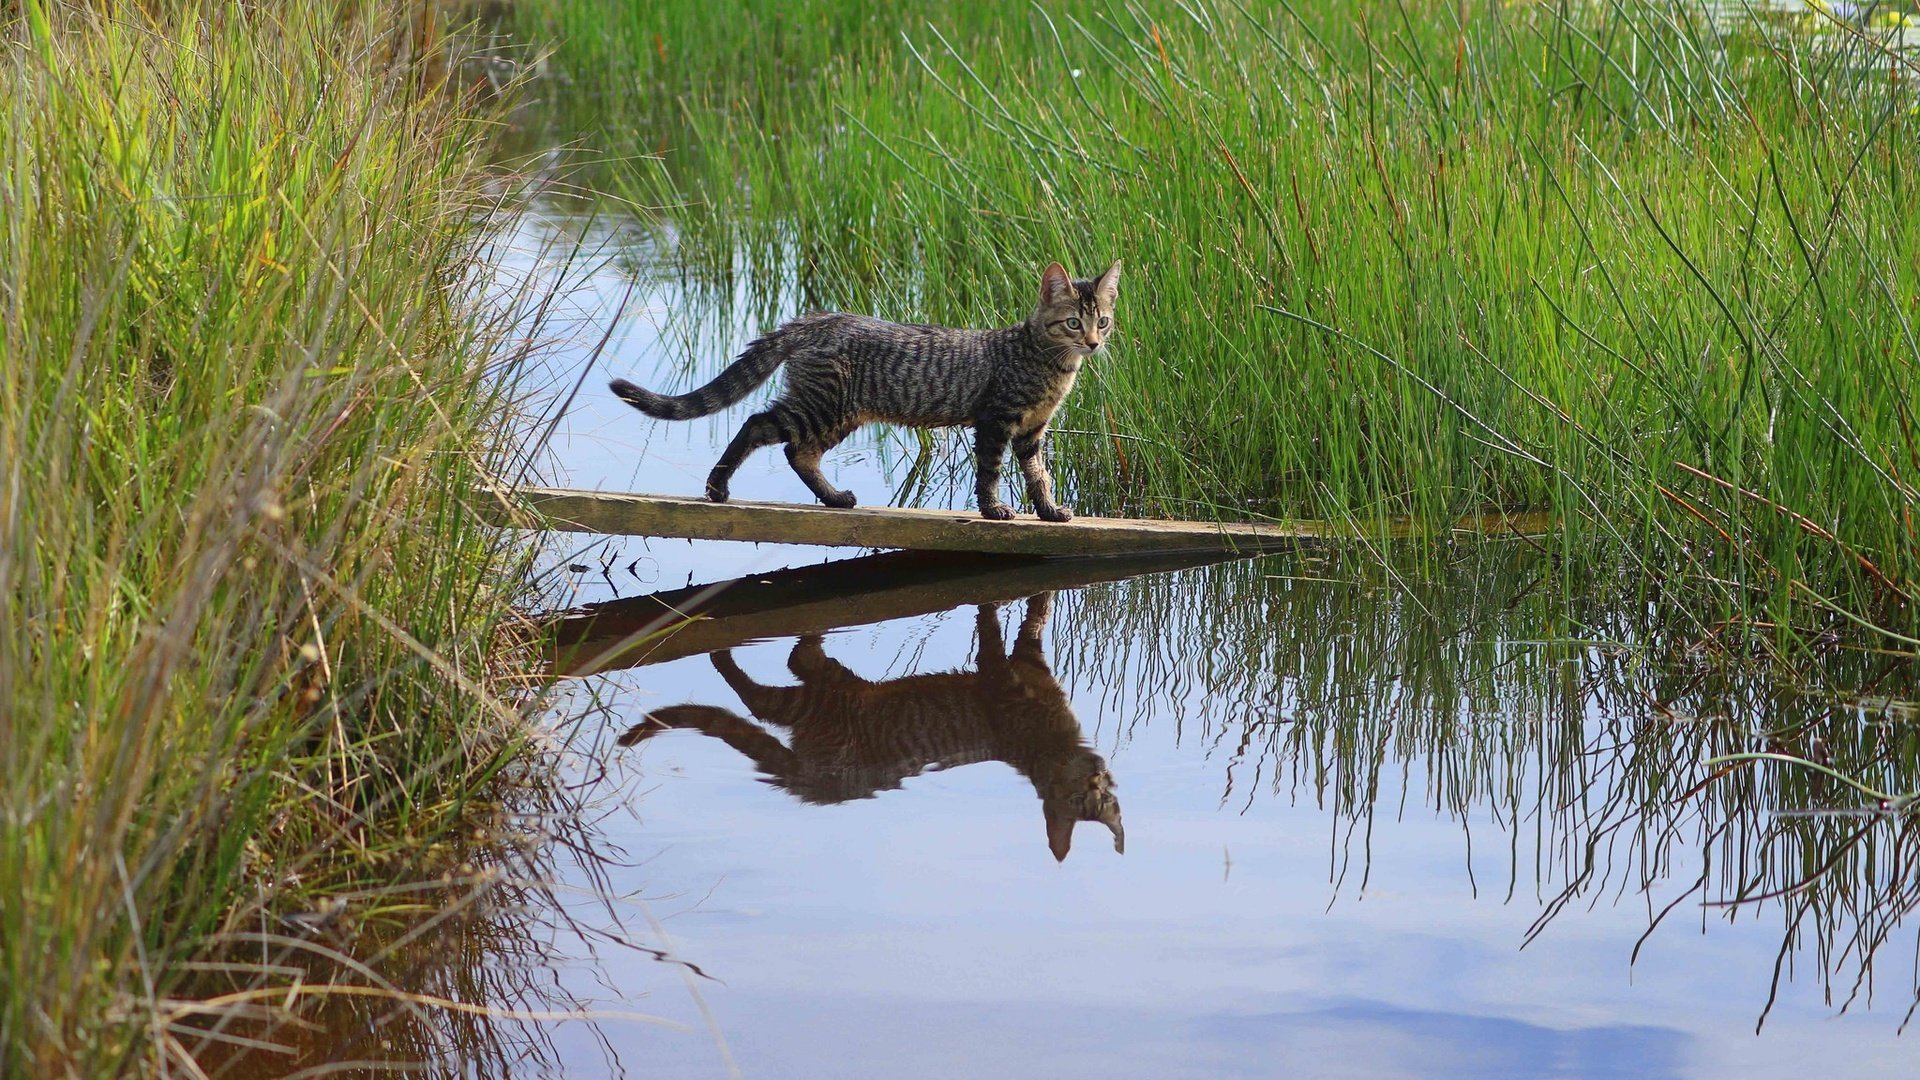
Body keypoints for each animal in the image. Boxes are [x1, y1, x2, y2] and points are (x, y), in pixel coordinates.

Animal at [610, 255, 1121, 518]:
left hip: (840, 413)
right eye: (1073, 323)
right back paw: (718, 486)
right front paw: (994, 510)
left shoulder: (1033, 431)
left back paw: (834, 498)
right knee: (760, 425)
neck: (1053, 366)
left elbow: (1039, 475)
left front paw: (1050, 510)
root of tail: (818, 319)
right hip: (823, 405)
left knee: (798, 452)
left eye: (1103, 321)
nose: (1094, 343)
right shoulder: (995, 420)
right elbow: (990, 472)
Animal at [614, 588, 1121, 857]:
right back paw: (726, 652)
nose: (1097, 779)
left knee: (786, 674)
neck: (1051, 743)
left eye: (1102, 800)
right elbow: (995, 625)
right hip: (825, 697)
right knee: (770, 685)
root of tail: (814, 782)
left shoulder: (1032, 661)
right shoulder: (1002, 675)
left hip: (819, 695)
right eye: (1078, 798)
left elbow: (1035, 617)